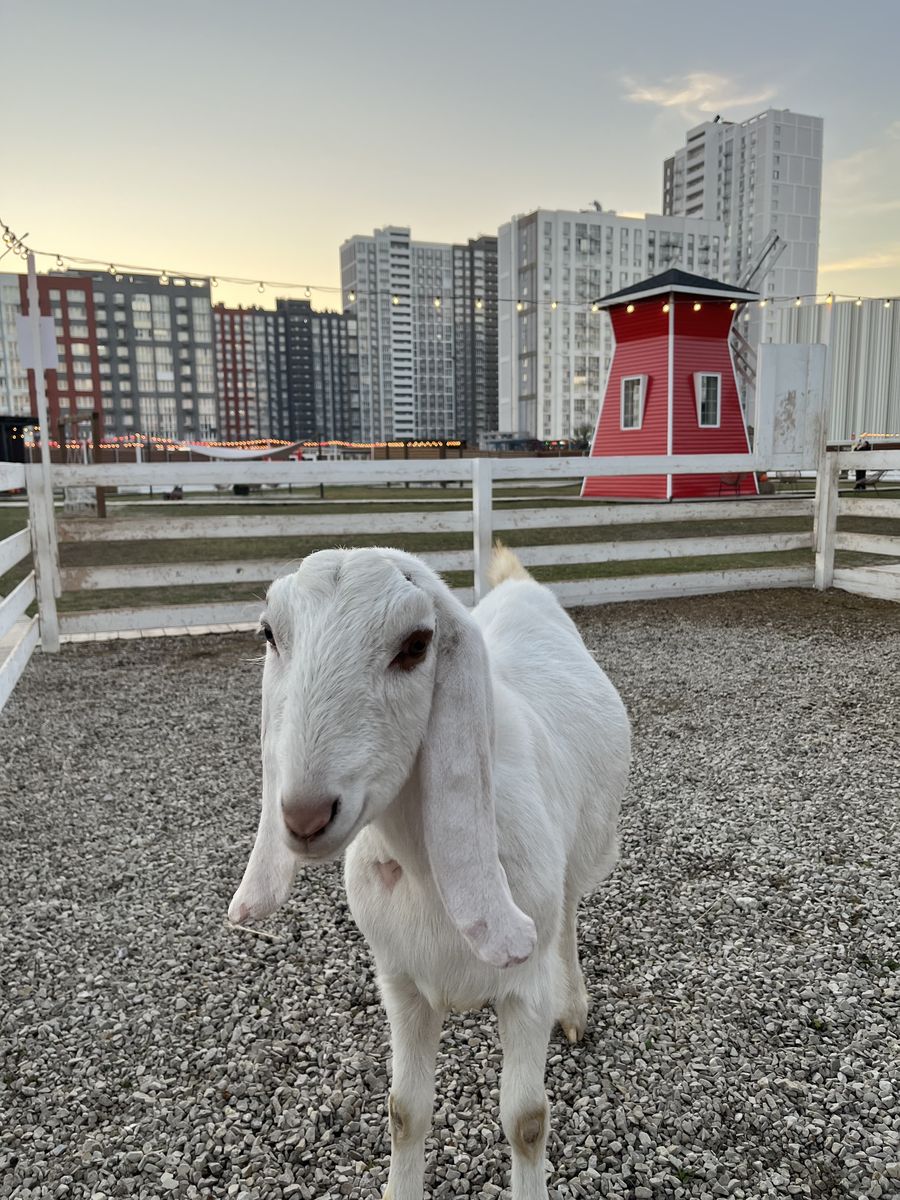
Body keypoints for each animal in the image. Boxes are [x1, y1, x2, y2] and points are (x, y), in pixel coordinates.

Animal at [228, 544, 630, 1200]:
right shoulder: (401, 982)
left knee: (569, 915)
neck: (430, 874)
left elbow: (527, 1120)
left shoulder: (524, 989)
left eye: (416, 644)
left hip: (585, 848)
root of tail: (519, 588)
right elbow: (404, 1110)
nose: (304, 815)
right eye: (269, 634)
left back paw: (573, 1009)